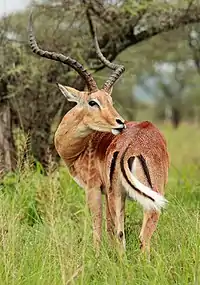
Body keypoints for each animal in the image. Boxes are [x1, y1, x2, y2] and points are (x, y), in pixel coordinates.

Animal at [28, 11, 169, 252]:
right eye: (93, 102)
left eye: (109, 101)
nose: (120, 123)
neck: (81, 148)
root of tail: (133, 145)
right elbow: (111, 228)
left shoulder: (93, 189)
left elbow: (98, 226)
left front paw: (96, 254)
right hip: (146, 193)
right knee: (133, 232)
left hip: (121, 194)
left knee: (132, 234)